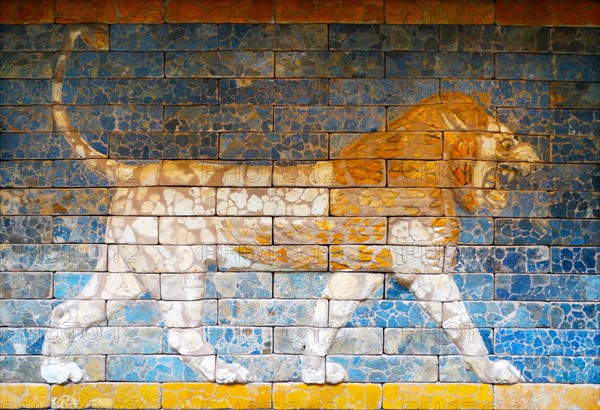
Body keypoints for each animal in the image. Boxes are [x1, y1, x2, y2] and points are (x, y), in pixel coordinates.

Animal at [43, 24, 540, 384]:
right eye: (508, 140)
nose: (537, 157)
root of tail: (131, 171)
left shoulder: (376, 271)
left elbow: (328, 321)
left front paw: (315, 374)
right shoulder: (405, 270)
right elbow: (460, 327)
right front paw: (497, 373)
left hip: (127, 273)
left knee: (67, 311)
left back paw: (55, 373)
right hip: (179, 272)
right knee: (183, 334)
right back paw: (227, 374)